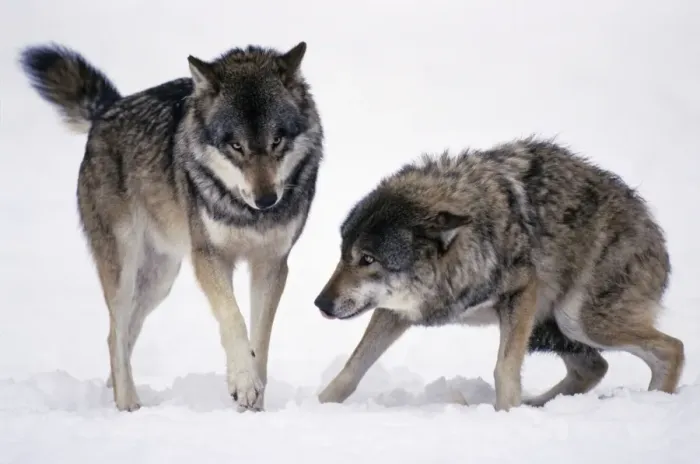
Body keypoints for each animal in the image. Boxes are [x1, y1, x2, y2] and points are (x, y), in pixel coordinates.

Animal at [19, 40, 324, 412]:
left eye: (277, 140)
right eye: (235, 146)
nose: (266, 200)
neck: (246, 213)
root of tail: (108, 109)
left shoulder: (272, 264)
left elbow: (260, 342)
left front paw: (254, 403)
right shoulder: (208, 257)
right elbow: (233, 320)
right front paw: (242, 383)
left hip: (160, 279)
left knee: (124, 334)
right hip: (124, 268)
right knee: (114, 334)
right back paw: (127, 405)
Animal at [314, 137, 684, 411]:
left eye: (367, 259)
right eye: (343, 254)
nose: (320, 304)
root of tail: (655, 231)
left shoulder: (521, 293)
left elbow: (504, 369)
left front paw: (506, 415)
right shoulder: (397, 310)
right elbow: (351, 369)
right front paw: (319, 407)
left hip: (577, 321)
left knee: (673, 349)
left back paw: (654, 403)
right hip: (551, 330)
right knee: (595, 368)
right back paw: (537, 405)